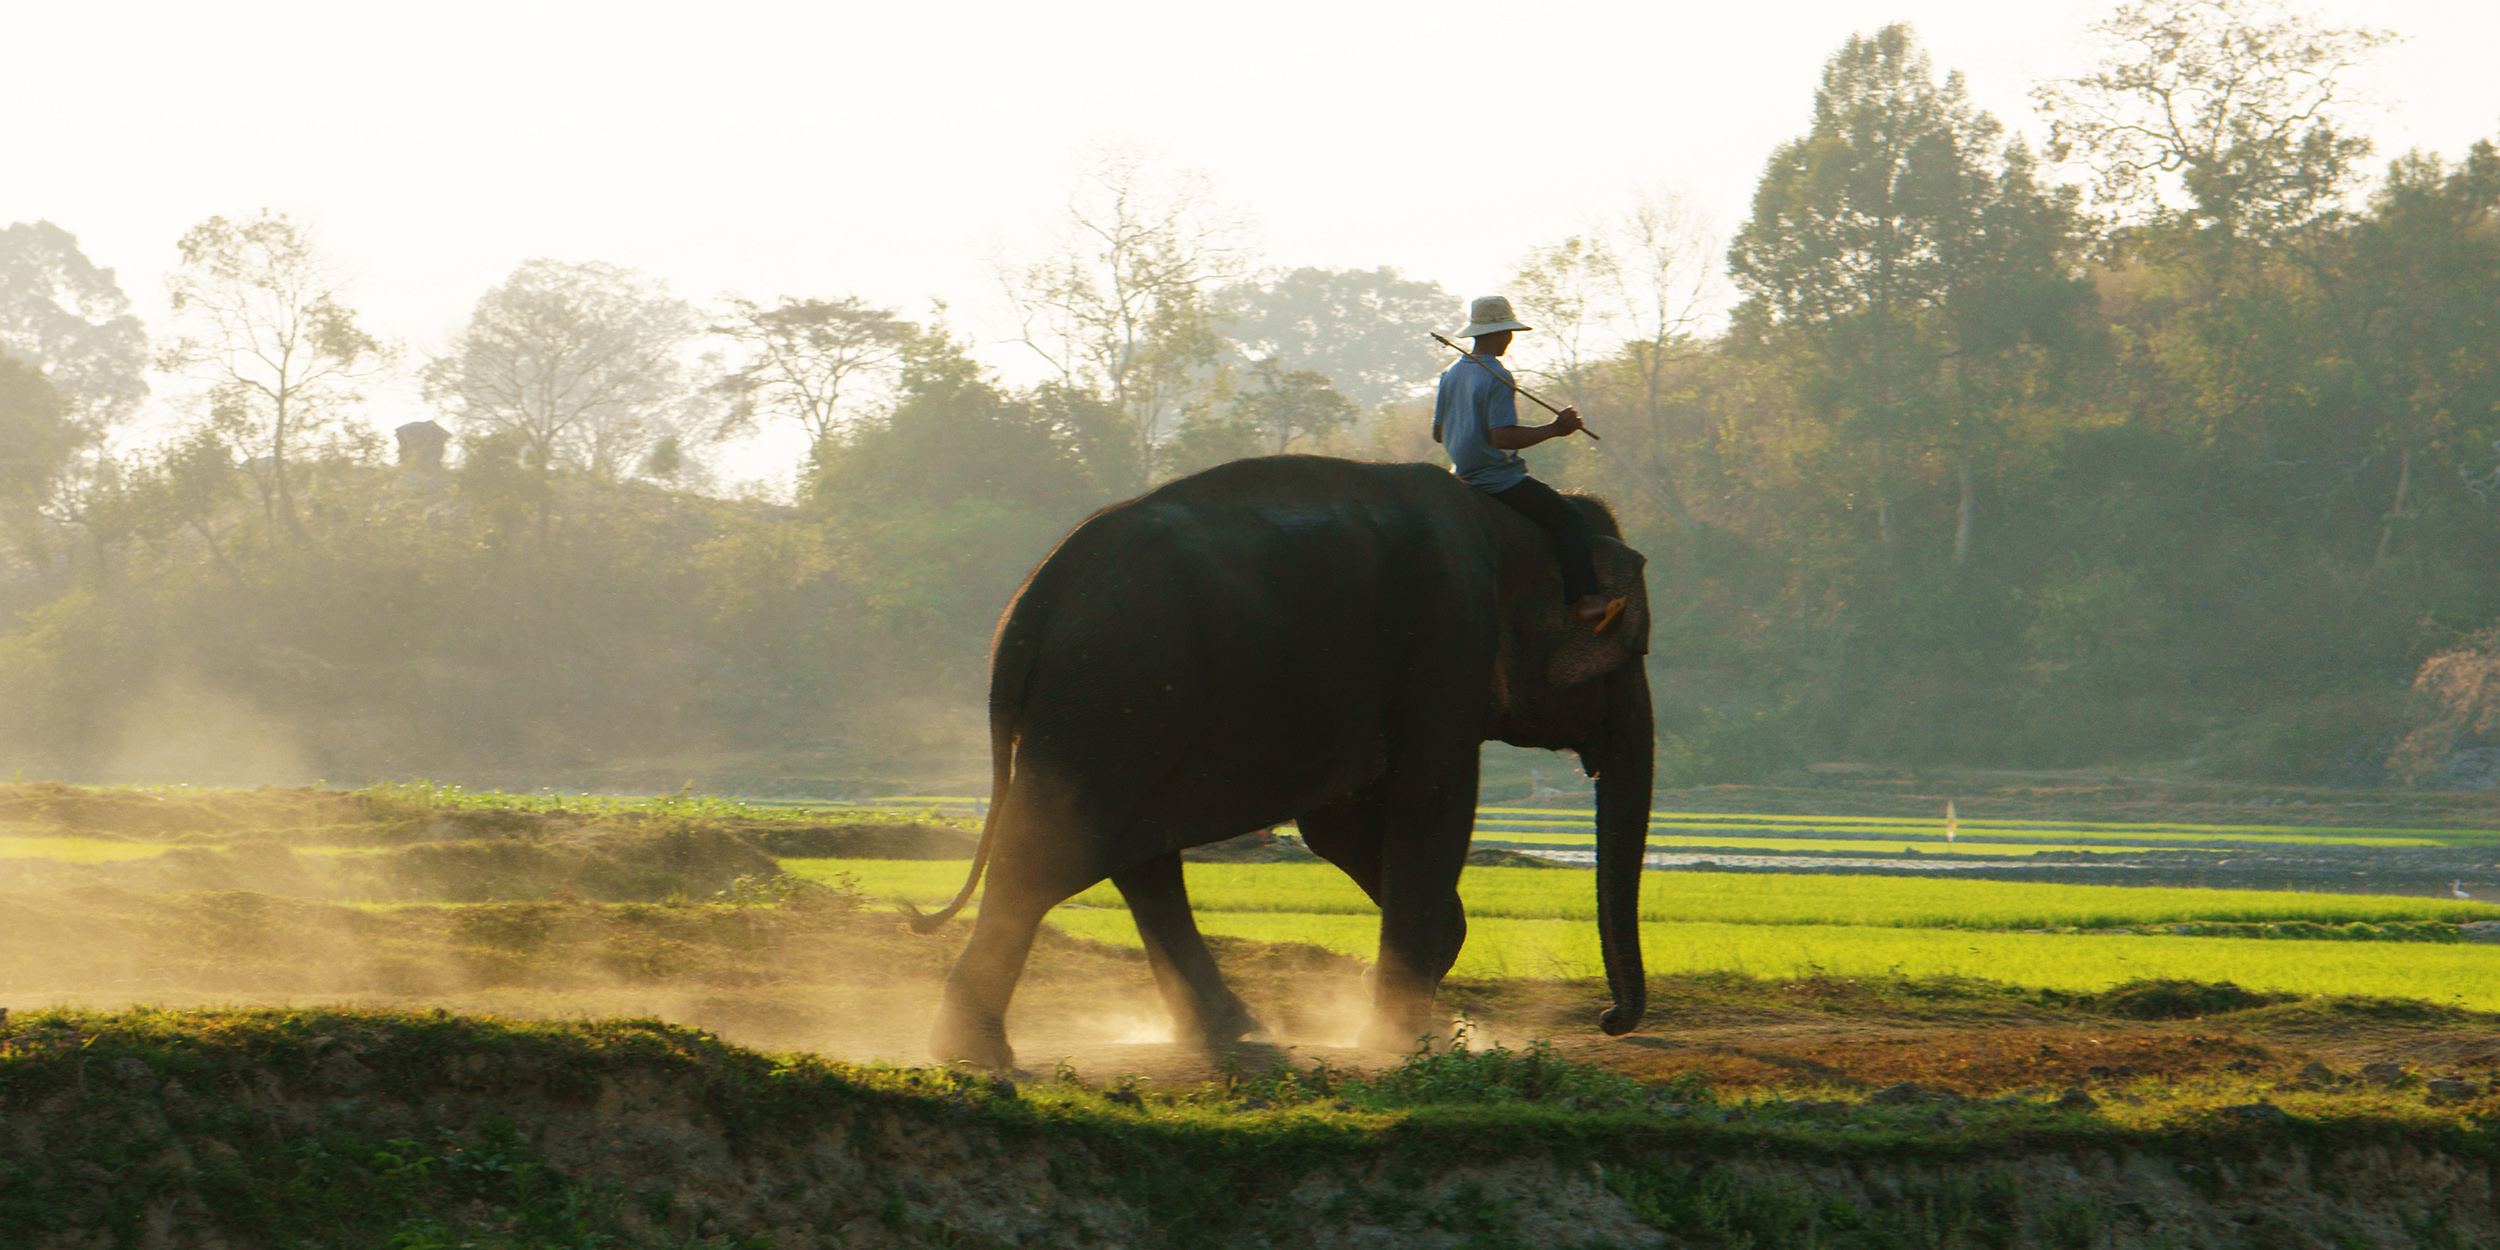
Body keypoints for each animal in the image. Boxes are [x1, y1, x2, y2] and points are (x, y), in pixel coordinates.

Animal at [910, 455, 1650, 1070]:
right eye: (1628, 651)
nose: (1609, 1019)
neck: (1505, 523)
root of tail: (1030, 603)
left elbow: (1339, 825)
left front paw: (1387, 1000)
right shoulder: (1446, 648)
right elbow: (1434, 803)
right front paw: (1411, 1038)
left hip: (1118, 709)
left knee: (1133, 859)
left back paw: (1231, 1030)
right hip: (1116, 695)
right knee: (1049, 854)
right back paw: (977, 1052)